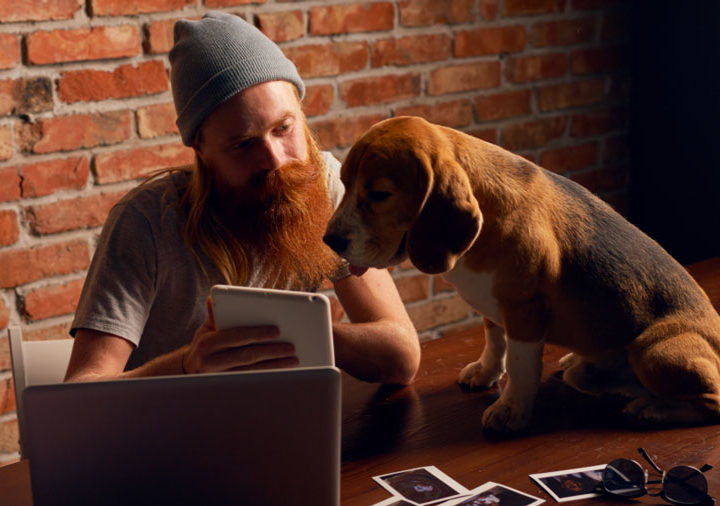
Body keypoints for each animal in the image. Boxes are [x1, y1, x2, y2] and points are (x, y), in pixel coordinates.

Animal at [324, 115, 720, 430]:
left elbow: (520, 364)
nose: (329, 240)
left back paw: (653, 409)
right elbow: (495, 341)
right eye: (343, 181)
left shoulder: (524, 311)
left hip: (654, 352)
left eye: (379, 194)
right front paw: (486, 373)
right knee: (592, 377)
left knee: (710, 402)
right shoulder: (495, 308)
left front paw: (511, 410)